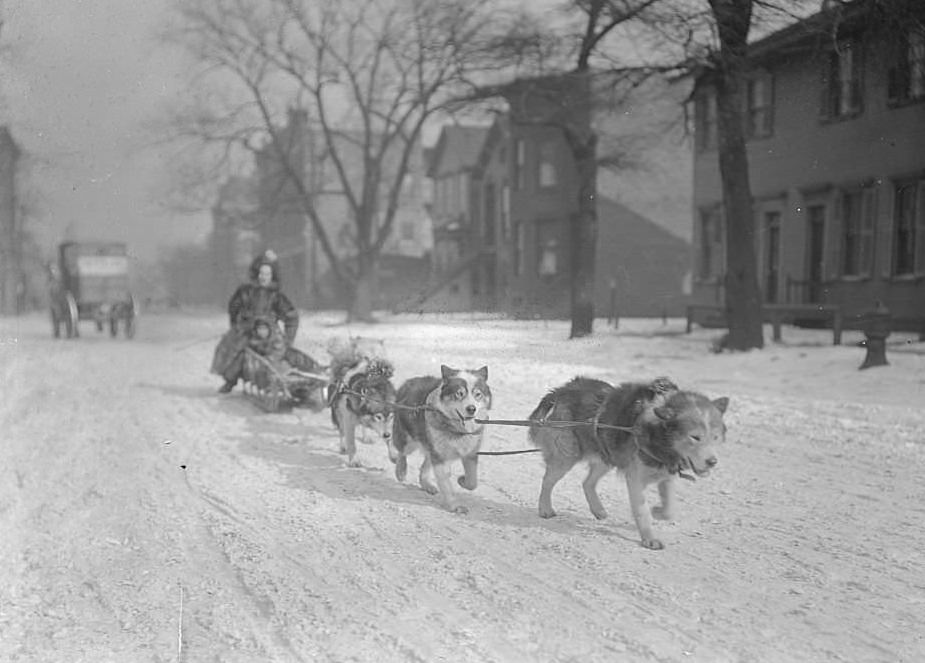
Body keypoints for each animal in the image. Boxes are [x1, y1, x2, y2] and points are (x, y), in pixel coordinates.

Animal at [390, 364, 490, 512]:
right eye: (459, 393)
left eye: (478, 394)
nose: (471, 409)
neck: (457, 430)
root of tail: (408, 382)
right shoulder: (440, 456)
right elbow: (446, 484)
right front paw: (453, 506)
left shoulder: (470, 453)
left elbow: (472, 482)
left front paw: (462, 480)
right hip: (410, 439)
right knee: (401, 451)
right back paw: (401, 471)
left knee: (426, 461)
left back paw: (426, 484)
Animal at [532, 376, 724, 552]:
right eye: (695, 437)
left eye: (715, 437)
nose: (712, 462)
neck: (655, 432)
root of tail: (559, 391)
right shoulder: (635, 480)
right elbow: (642, 512)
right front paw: (649, 538)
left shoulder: (667, 475)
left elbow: (669, 508)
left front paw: (659, 512)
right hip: (567, 456)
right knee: (547, 481)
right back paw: (545, 508)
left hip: (606, 455)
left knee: (587, 483)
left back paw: (597, 509)